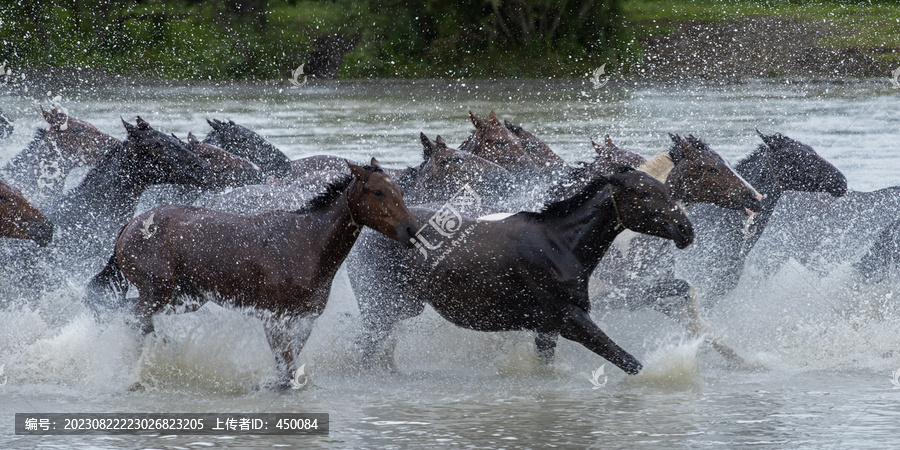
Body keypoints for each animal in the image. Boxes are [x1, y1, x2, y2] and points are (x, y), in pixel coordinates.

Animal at [88, 161, 418, 386]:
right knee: (136, 319)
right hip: (158, 291)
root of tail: (131, 225)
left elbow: (289, 367)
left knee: (130, 315)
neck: (305, 243)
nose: (411, 230)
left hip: (185, 297)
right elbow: (286, 370)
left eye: (400, 190)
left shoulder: (304, 320)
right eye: (378, 191)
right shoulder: (274, 319)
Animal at [348, 167, 692, 374]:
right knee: (364, 348)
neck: (561, 243)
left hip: (401, 309)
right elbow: (629, 361)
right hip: (382, 308)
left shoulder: (547, 328)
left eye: (665, 190)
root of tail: (364, 235)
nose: (685, 230)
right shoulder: (570, 319)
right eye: (645, 194)